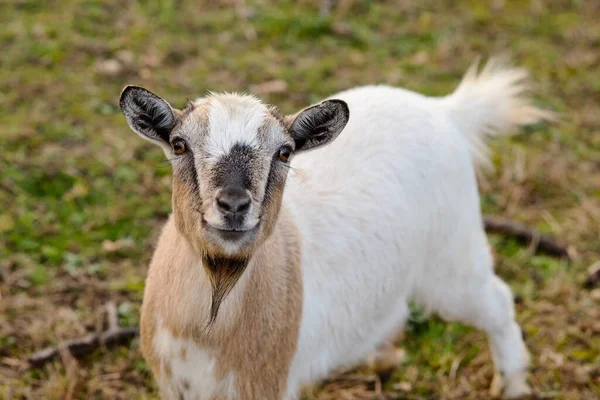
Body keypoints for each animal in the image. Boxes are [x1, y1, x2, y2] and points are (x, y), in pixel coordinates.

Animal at [118, 59, 552, 400]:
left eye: (284, 152)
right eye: (179, 145)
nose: (235, 206)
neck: (208, 324)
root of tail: (444, 110)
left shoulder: (268, 384)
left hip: (453, 252)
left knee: (497, 299)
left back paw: (511, 384)